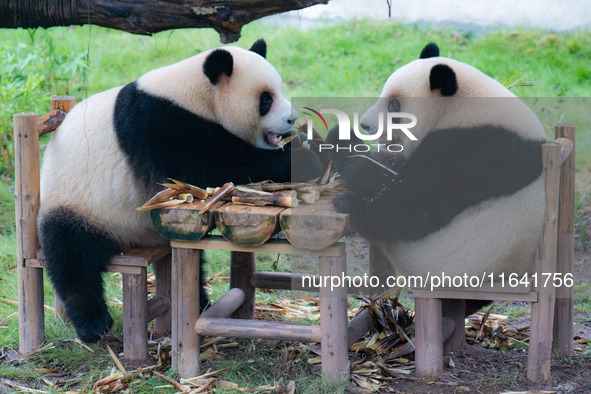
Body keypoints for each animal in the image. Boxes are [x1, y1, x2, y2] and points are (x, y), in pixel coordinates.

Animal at [40, 38, 324, 344]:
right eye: (266, 99)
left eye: (280, 90)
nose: (292, 119)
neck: (196, 95)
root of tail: (130, 241)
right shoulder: (162, 127)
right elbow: (213, 167)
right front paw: (304, 159)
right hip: (79, 204)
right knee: (70, 253)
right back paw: (93, 324)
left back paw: (202, 304)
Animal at [328, 43, 544, 310]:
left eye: (394, 105)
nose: (367, 125)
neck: (458, 106)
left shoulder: (477, 148)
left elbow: (414, 204)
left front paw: (343, 141)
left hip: (443, 262)